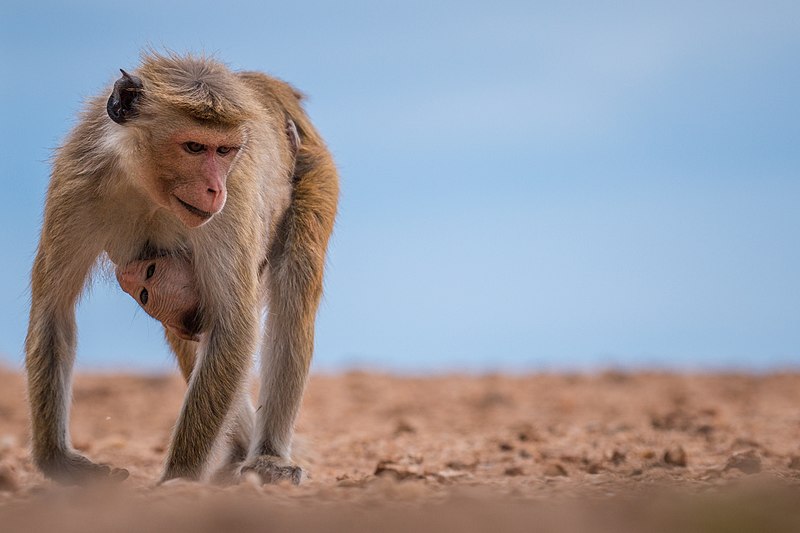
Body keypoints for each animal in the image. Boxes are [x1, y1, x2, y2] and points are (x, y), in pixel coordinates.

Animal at [25, 52, 338, 484]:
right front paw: (59, 463)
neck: (145, 184)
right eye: (193, 147)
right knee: (187, 329)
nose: (214, 189)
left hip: (312, 166)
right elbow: (54, 310)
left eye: (225, 151)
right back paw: (237, 450)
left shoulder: (232, 199)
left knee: (292, 296)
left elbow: (234, 323)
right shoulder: (76, 181)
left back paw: (267, 457)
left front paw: (179, 477)